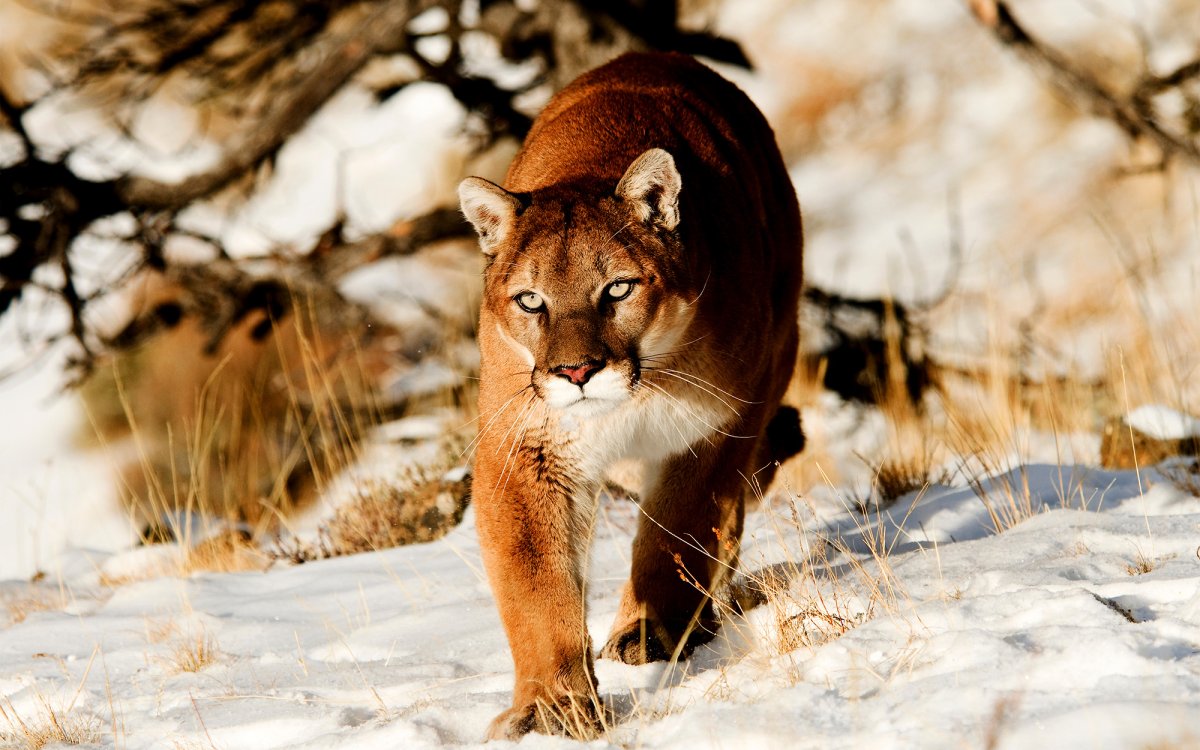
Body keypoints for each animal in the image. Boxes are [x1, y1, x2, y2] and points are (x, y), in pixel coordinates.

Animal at [458, 51, 804, 739]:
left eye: (617, 289)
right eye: (530, 301)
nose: (575, 372)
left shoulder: (716, 426)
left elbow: (675, 531)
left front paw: (648, 633)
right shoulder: (526, 447)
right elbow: (536, 581)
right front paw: (552, 703)